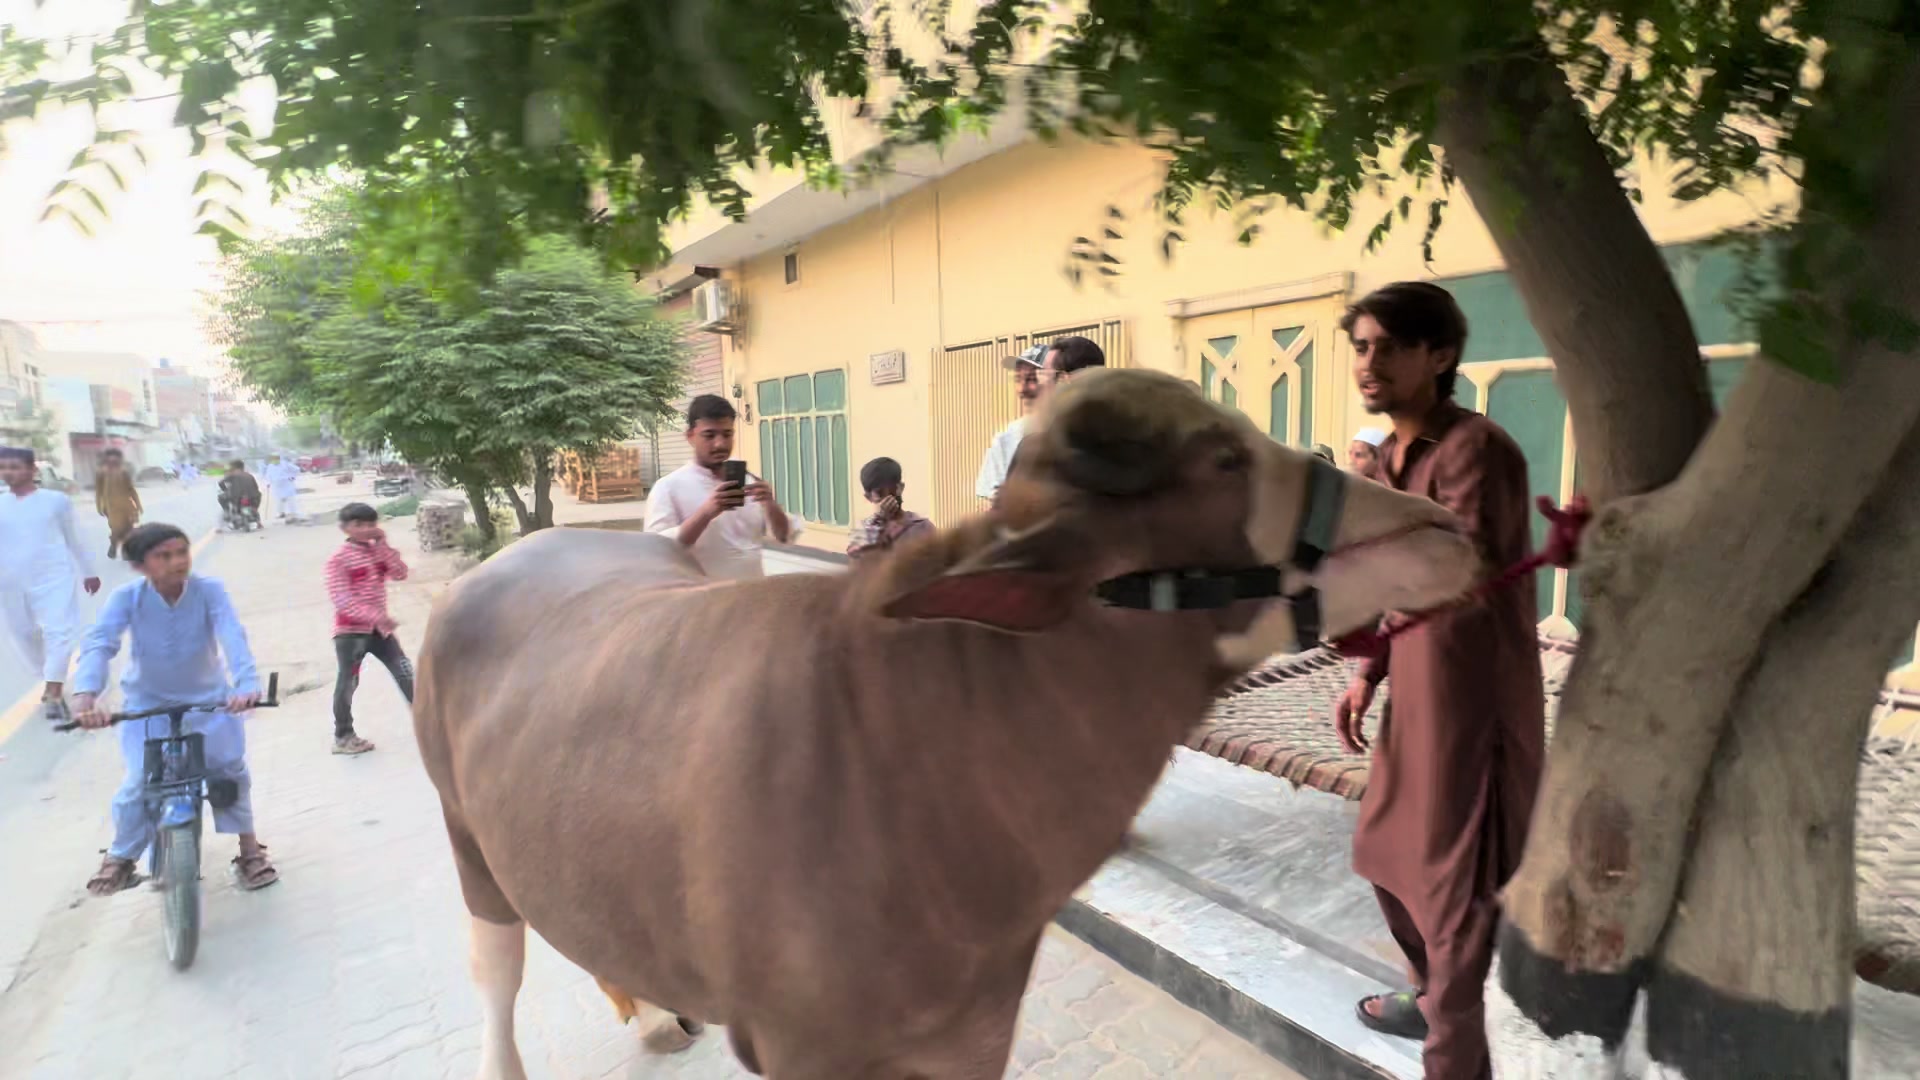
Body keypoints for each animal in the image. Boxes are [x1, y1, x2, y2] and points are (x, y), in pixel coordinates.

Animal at [412, 368, 1478, 1080]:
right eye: (1223, 460)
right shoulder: (806, 1049)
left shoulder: (972, 1033)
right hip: (466, 847)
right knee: (495, 972)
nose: (1440, 524)